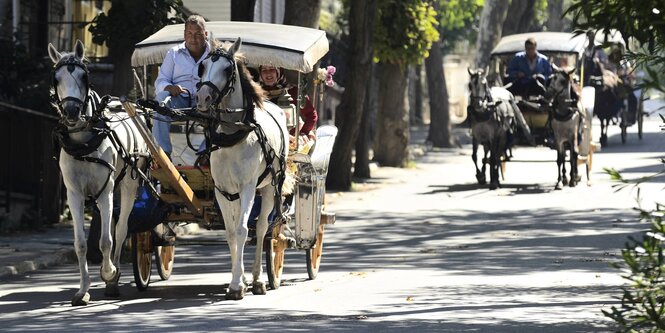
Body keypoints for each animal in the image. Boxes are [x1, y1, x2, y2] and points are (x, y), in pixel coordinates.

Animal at [48, 40, 149, 304]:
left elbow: (106, 241)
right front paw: (83, 290)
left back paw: (114, 277)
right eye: (56, 78)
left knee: (121, 228)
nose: (72, 111)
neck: (84, 142)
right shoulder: (74, 193)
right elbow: (81, 244)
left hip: (128, 184)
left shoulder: (106, 190)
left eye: (84, 76)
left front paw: (109, 272)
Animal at [197, 38, 290, 298]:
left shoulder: (248, 187)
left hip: (268, 187)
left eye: (227, 70)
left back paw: (258, 280)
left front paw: (239, 285)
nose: (202, 98)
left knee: (261, 227)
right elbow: (231, 233)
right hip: (235, 194)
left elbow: (242, 230)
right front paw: (236, 280)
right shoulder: (222, 190)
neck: (234, 134)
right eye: (202, 66)